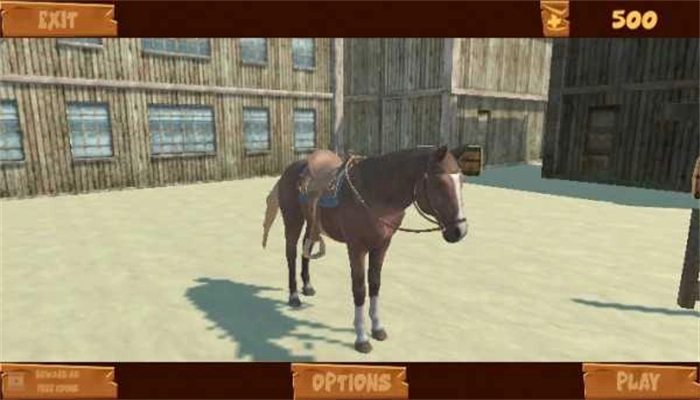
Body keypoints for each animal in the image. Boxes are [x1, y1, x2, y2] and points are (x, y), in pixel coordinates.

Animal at [261, 145, 468, 353]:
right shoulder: (356, 247)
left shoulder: (382, 245)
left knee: (307, 248)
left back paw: (308, 287)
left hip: (312, 223)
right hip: (293, 220)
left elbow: (375, 283)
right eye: (440, 184)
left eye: (462, 181)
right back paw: (294, 297)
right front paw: (361, 338)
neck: (375, 192)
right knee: (291, 254)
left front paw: (377, 329)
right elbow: (359, 289)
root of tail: (291, 169)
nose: (460, 231)